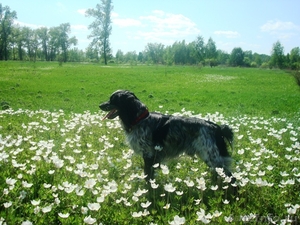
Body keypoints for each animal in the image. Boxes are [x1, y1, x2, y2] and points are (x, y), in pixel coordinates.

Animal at [99, 90, 236, 182]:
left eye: (113, 100)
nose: (100, 105)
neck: (140, 119)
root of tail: (216, 127)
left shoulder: (148, 154)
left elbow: (147, 174)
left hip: (212, 157)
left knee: (231, 177)